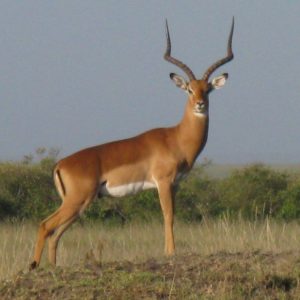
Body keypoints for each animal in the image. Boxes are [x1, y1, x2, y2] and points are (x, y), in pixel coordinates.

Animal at [29, 18, 234, 270]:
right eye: (189, 89)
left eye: (208, 90)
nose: (200, 104)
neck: (176, 138)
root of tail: (60, 164)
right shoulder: (163, 182)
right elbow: (168, 215)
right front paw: (170, 253)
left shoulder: (175, 184)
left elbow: (172, 215)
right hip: (77, 201)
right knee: (45, 226)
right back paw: (34, 267)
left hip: (80, 205)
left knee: (55, 234)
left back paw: (53, 267)